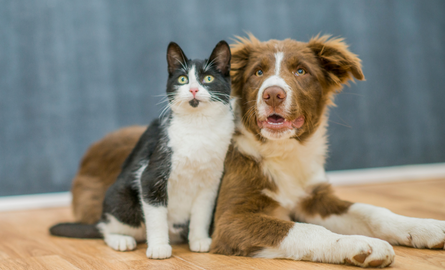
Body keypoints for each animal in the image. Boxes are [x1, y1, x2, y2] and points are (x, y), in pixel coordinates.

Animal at [50, 40, 234, 260]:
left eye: (208, 78)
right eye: (183, 79)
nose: (193, 90)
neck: (198, 127)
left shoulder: (210, 182)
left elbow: (202, 214)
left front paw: (199, 240)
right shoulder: (151, 175)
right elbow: (156, 215)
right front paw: (159, 247)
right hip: (123, 201)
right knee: (106, 228)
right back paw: (121, 240)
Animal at [209, 34, 444, 268]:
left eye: (301, 71)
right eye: (258, 72)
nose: (273, 94)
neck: (284, 151)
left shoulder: (314, 198)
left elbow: (371, 210)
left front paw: (425, 226)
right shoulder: (230, 220)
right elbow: (305, 229)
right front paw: (359, 244)